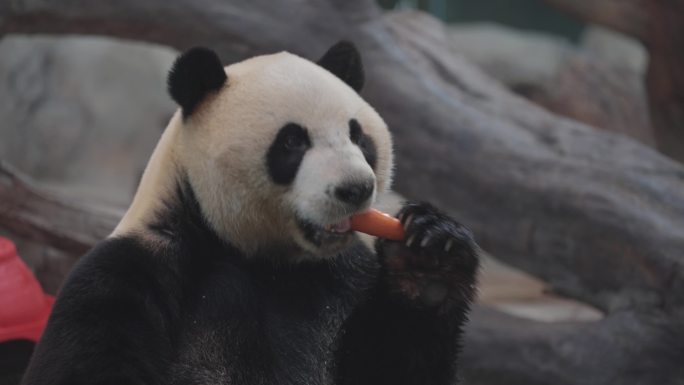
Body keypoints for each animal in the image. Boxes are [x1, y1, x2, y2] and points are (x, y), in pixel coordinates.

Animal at [22, 41, 480, 384]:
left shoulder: (346, 278)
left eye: (357, 135)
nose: (356, 189)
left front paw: (428, 258)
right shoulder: (132, 269)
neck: (269, 260)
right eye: (292, 141)